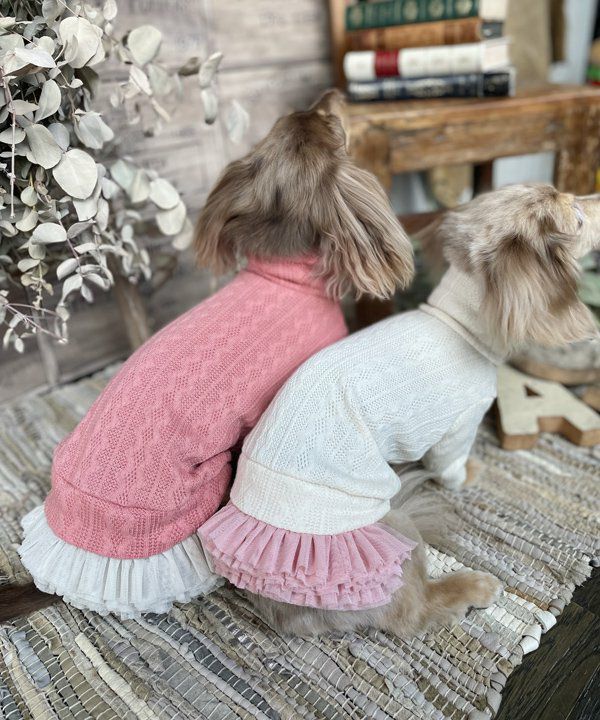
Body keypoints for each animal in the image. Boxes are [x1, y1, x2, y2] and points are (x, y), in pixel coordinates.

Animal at [199, 183, 600, 636]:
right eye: (578, 217)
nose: (597, 197)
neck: (459, 325)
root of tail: (284, 612)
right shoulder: (460, 426)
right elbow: (450, 466)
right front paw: (468, 474)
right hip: (394, 528)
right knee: (413, 612)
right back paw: (471, 588)